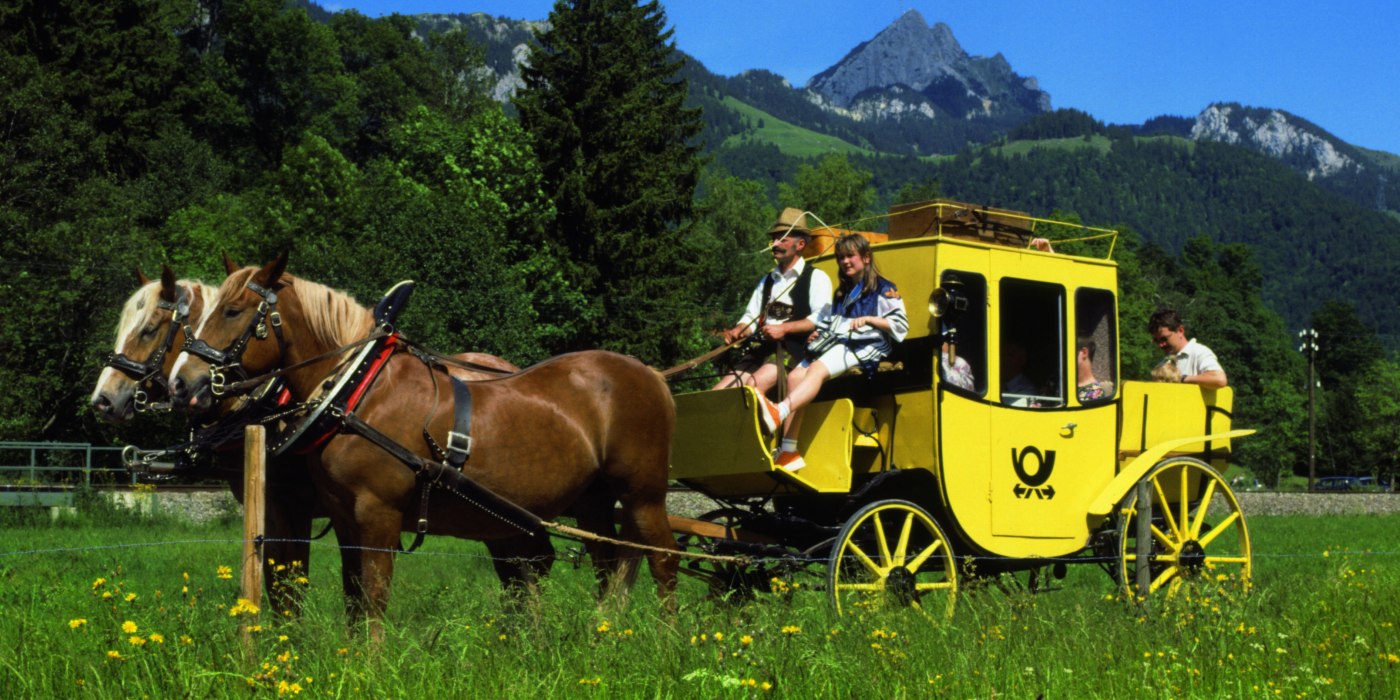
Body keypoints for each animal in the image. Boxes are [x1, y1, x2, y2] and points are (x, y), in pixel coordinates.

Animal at [166, 253, 680, 635]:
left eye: (232, 311)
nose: (182, 383)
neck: (357, 388)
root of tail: (651, 374)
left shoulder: (378, 514)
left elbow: (373, 596)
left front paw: (369, 667)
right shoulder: (346, 520)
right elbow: (353, 598)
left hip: (643, 495)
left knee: (664, 561)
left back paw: (666, 640)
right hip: (593, 501)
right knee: (609, 566)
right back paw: (603, 636)